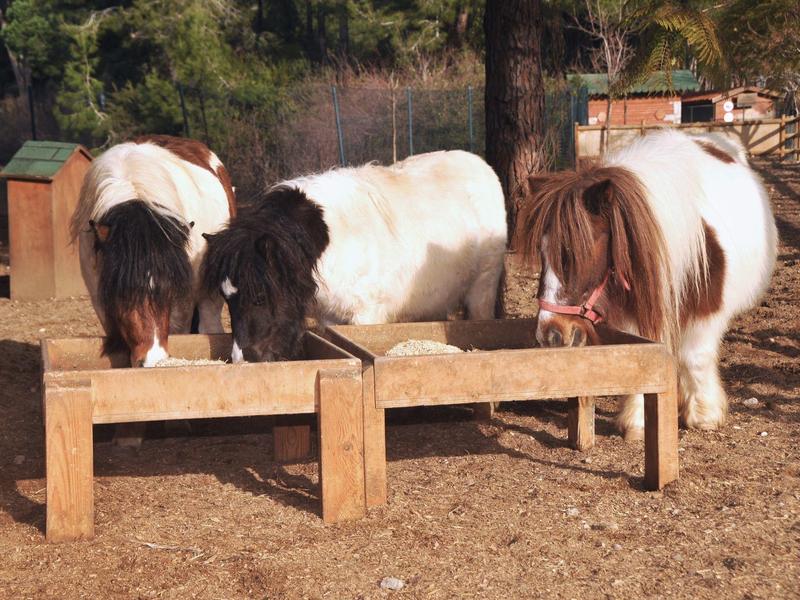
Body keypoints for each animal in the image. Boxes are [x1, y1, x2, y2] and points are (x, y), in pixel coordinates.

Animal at [202, 150, 507, 363]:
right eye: (227, 299)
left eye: (260, 297)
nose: (242, 359)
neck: (333, 243)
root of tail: (482, 167)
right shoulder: (331, 318)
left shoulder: (366, 315)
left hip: (482, 288)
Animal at [514, 129, 777, 440]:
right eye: (542, 252)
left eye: (580, 251)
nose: (550, 334)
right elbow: (638, 358)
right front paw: (637, 422)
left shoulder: (707, 311)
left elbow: (695, 357)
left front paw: (704, 415)